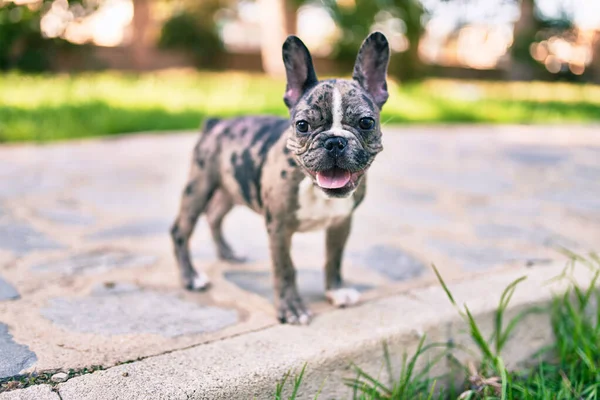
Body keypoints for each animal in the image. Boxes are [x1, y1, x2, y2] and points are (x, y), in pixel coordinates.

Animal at [171, 32, 392, 324]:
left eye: (366, 123)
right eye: (302, 126)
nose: (334, 141)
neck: (313, 188)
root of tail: (215, 123)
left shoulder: (341, 223)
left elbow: (334, 258)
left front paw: (335, 291)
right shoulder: (278, 229)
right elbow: (285, 268)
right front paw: (291, 308)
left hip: (231, 188)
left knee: (215, 216)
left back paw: (228, 253)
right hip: (199, 186)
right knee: (181, 230)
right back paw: (191, 278)